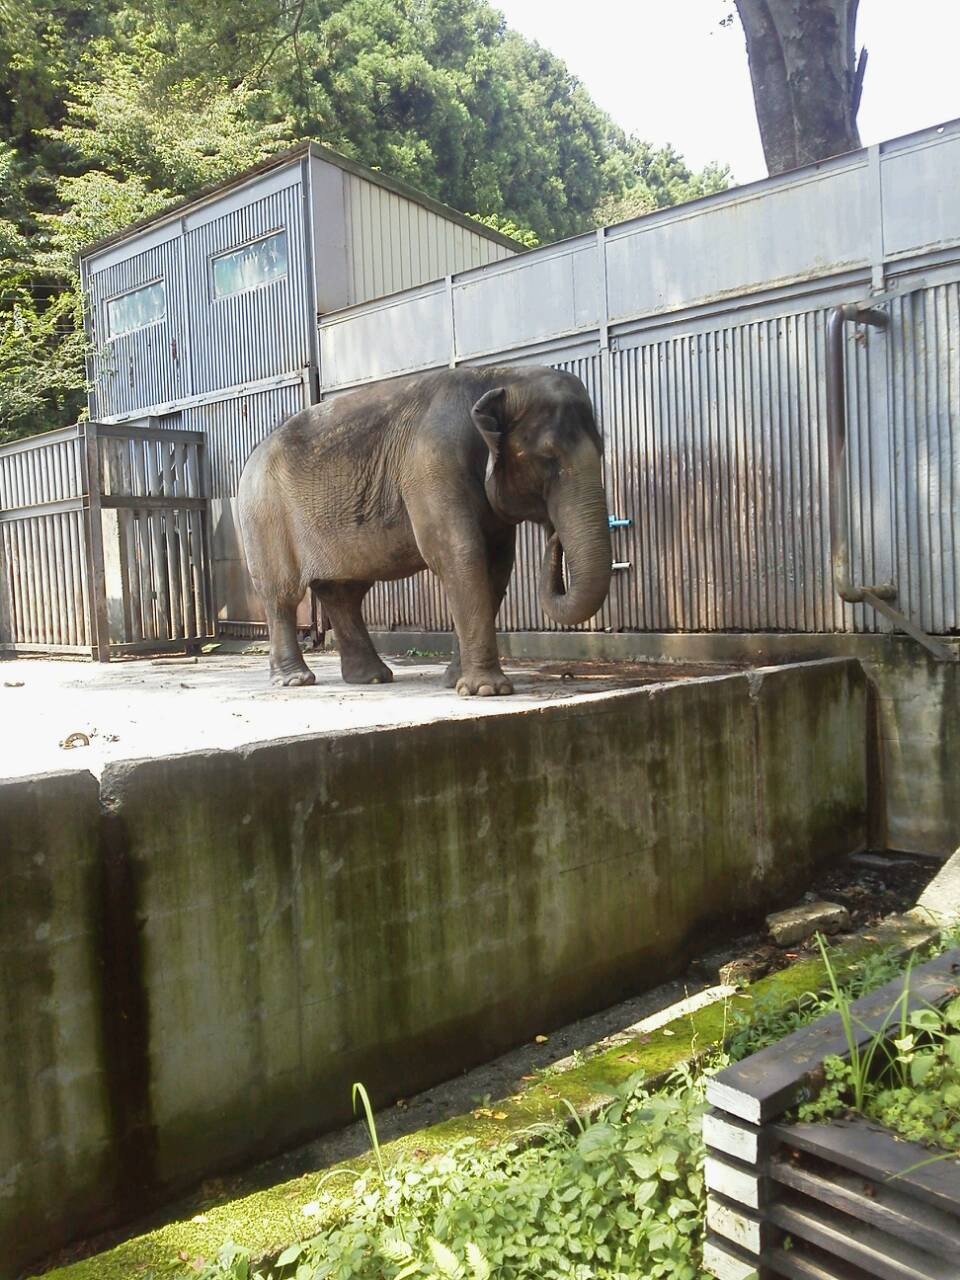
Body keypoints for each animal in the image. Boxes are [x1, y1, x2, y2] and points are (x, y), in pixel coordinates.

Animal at [238, 366, 611, 696]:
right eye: (547, 458)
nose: (553, 532)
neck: (500, 376)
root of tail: (253, 453)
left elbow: (497, 565)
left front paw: (457, 682)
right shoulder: (433, 464)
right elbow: (459, 553)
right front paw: (488, 690)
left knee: (343, 593)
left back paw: (372, 678)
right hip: (264, 515)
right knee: (283, 594)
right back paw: (296, 681)